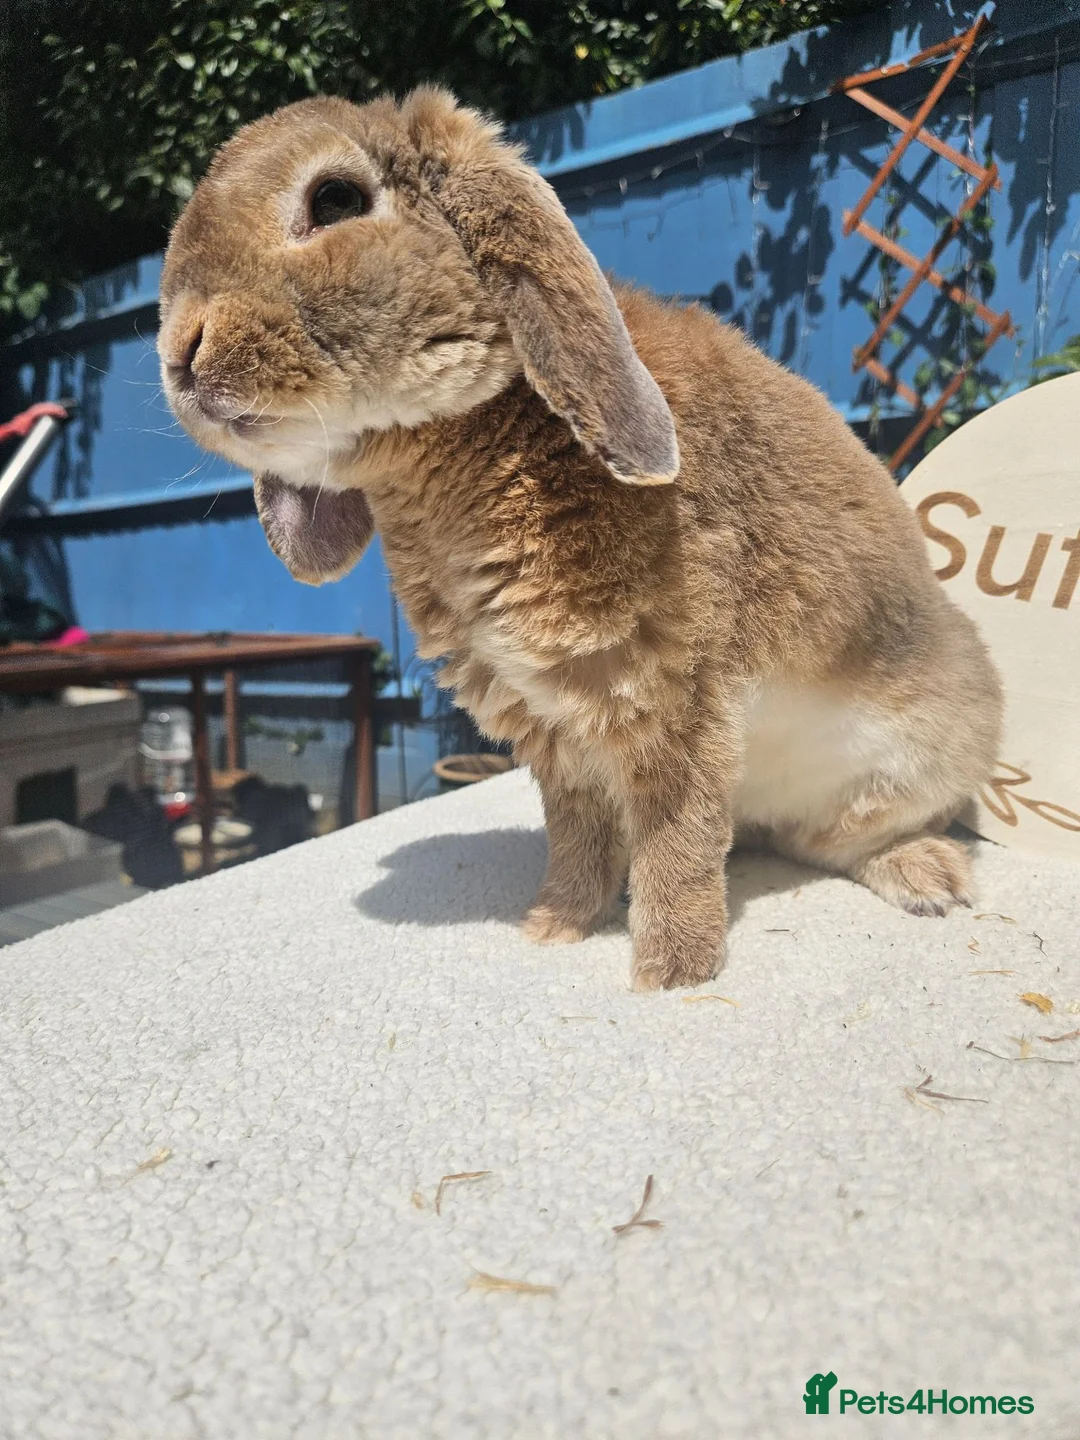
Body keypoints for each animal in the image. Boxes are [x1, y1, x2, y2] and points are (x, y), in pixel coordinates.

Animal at [157, 87, 1003, 991]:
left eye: (337, 199)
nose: (179, 357)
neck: (468, 445)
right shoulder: (554, 724)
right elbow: (580, 836)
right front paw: (556, 926)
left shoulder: (677, 697)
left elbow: (679, 837)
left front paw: (673, 972)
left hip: (911, 760)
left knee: (842, 840)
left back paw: (929, 877)